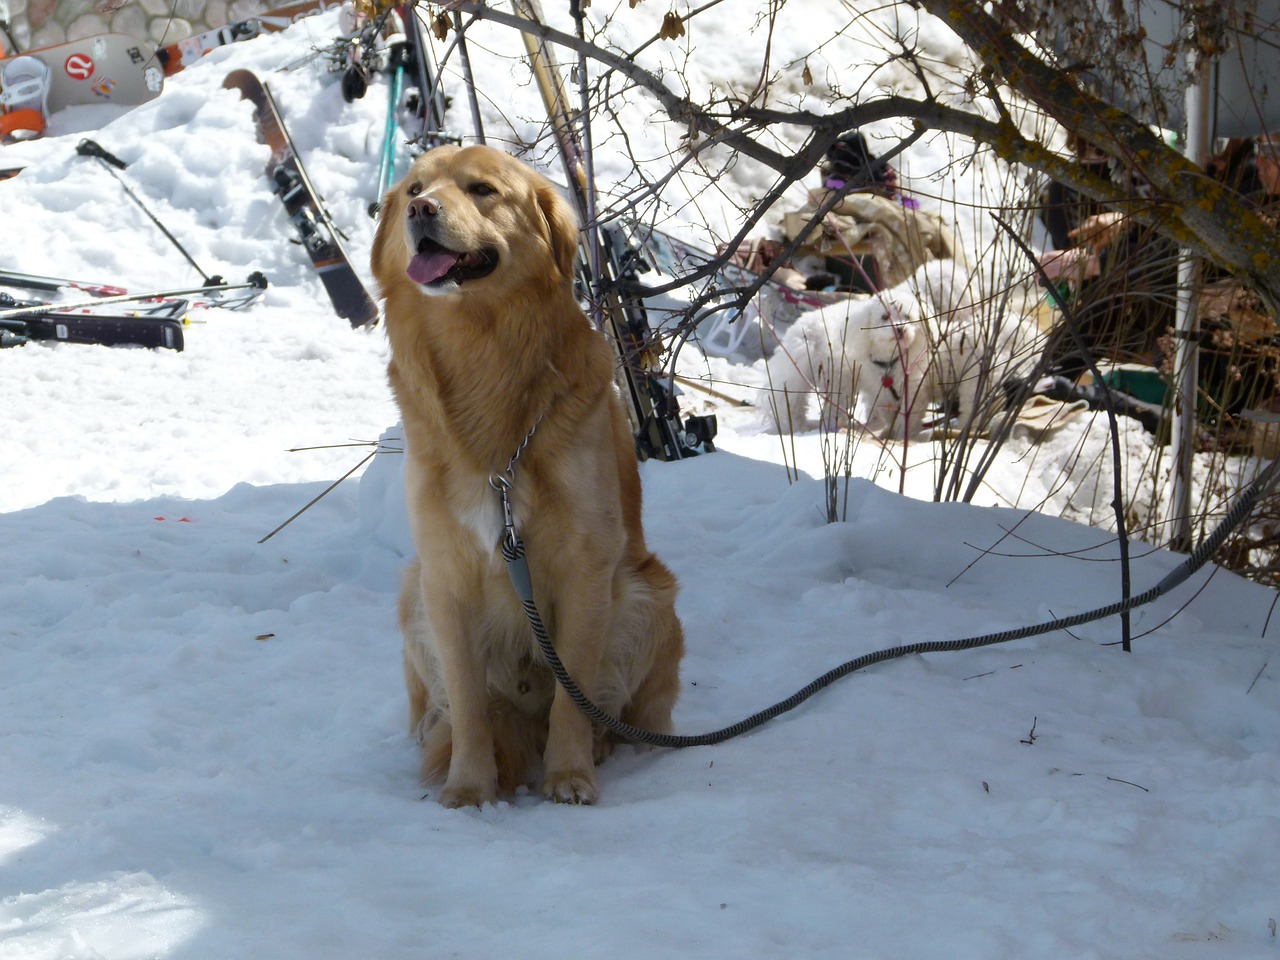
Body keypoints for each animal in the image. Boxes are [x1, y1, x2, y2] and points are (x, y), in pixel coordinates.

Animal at [373, 142, 686, 808]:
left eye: (483, 190)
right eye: (414, 187)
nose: (421, 209)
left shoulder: (586, 565)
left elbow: (574, 697)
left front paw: (569, 775)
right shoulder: (444, 575)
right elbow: (467, 704)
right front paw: (469, 788)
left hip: (648, 598)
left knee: (613, 709)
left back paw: (600, 746)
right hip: (412, 593)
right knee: (451, 708)